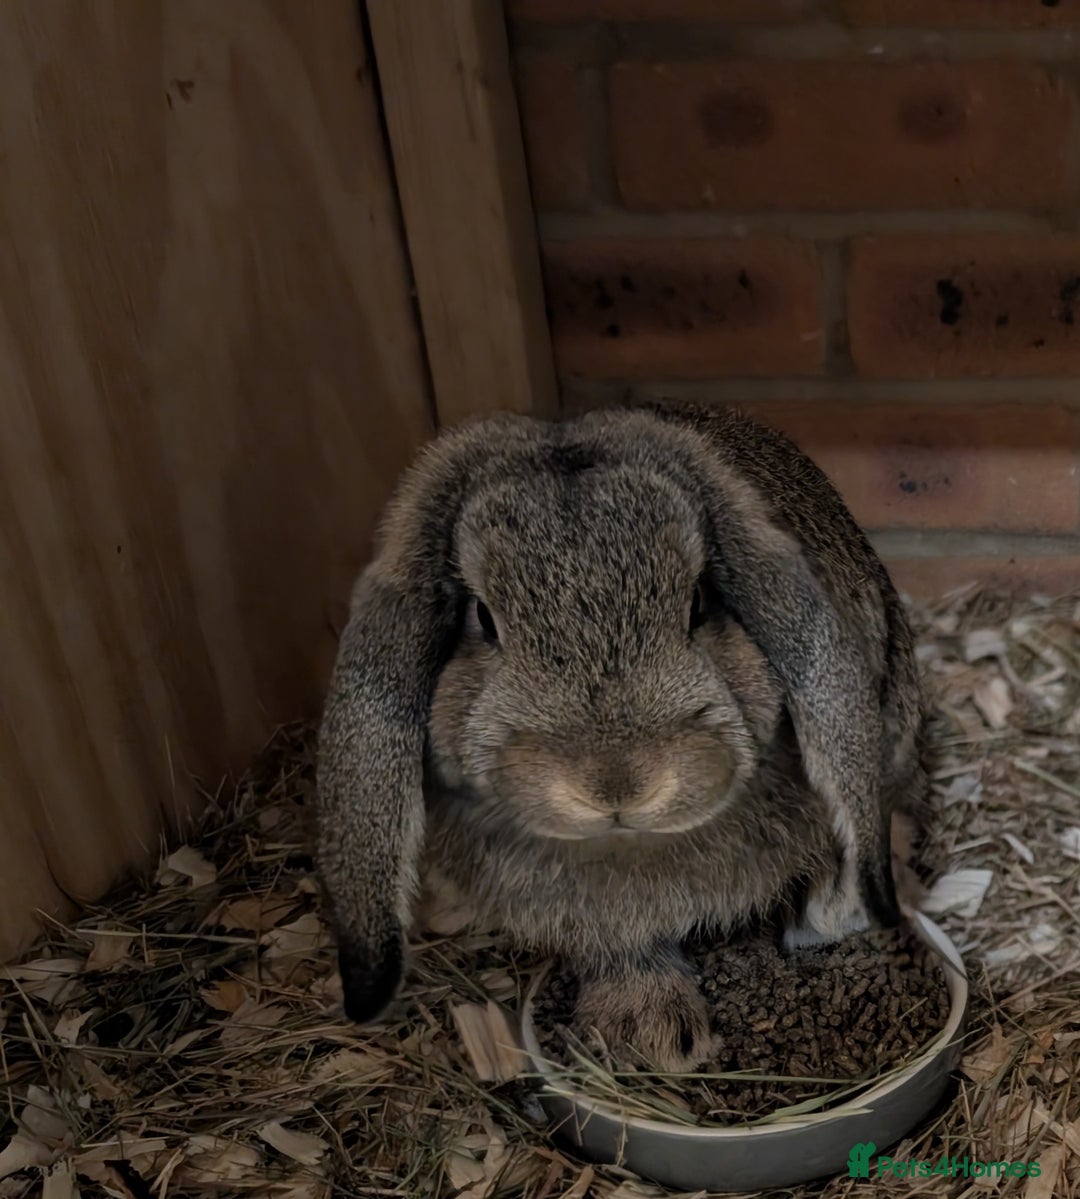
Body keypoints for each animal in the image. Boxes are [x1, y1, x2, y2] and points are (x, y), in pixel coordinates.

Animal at [316, 401, 929, 1072]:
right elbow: (620, 946)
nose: (617, 784)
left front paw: (826, 913)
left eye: (699, 600)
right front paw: (650, 1032)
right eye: (482, 617)